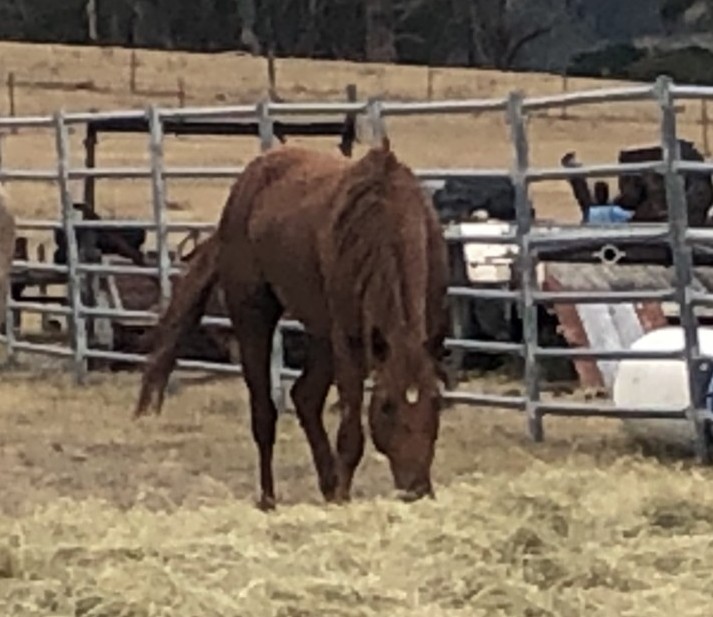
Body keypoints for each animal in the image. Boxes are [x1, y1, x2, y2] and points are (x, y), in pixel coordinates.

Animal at [133, 138, 450, 509]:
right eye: (386, 406)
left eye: (436, 401)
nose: (417, 489)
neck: (383, 220)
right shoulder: (349, 341)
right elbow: (351, 433)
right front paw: (343, 497)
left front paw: (338, 490)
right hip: (254, 317)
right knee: (264, 413)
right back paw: (269, 498)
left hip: (320, 333)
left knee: (305, 397)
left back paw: (327, 483)